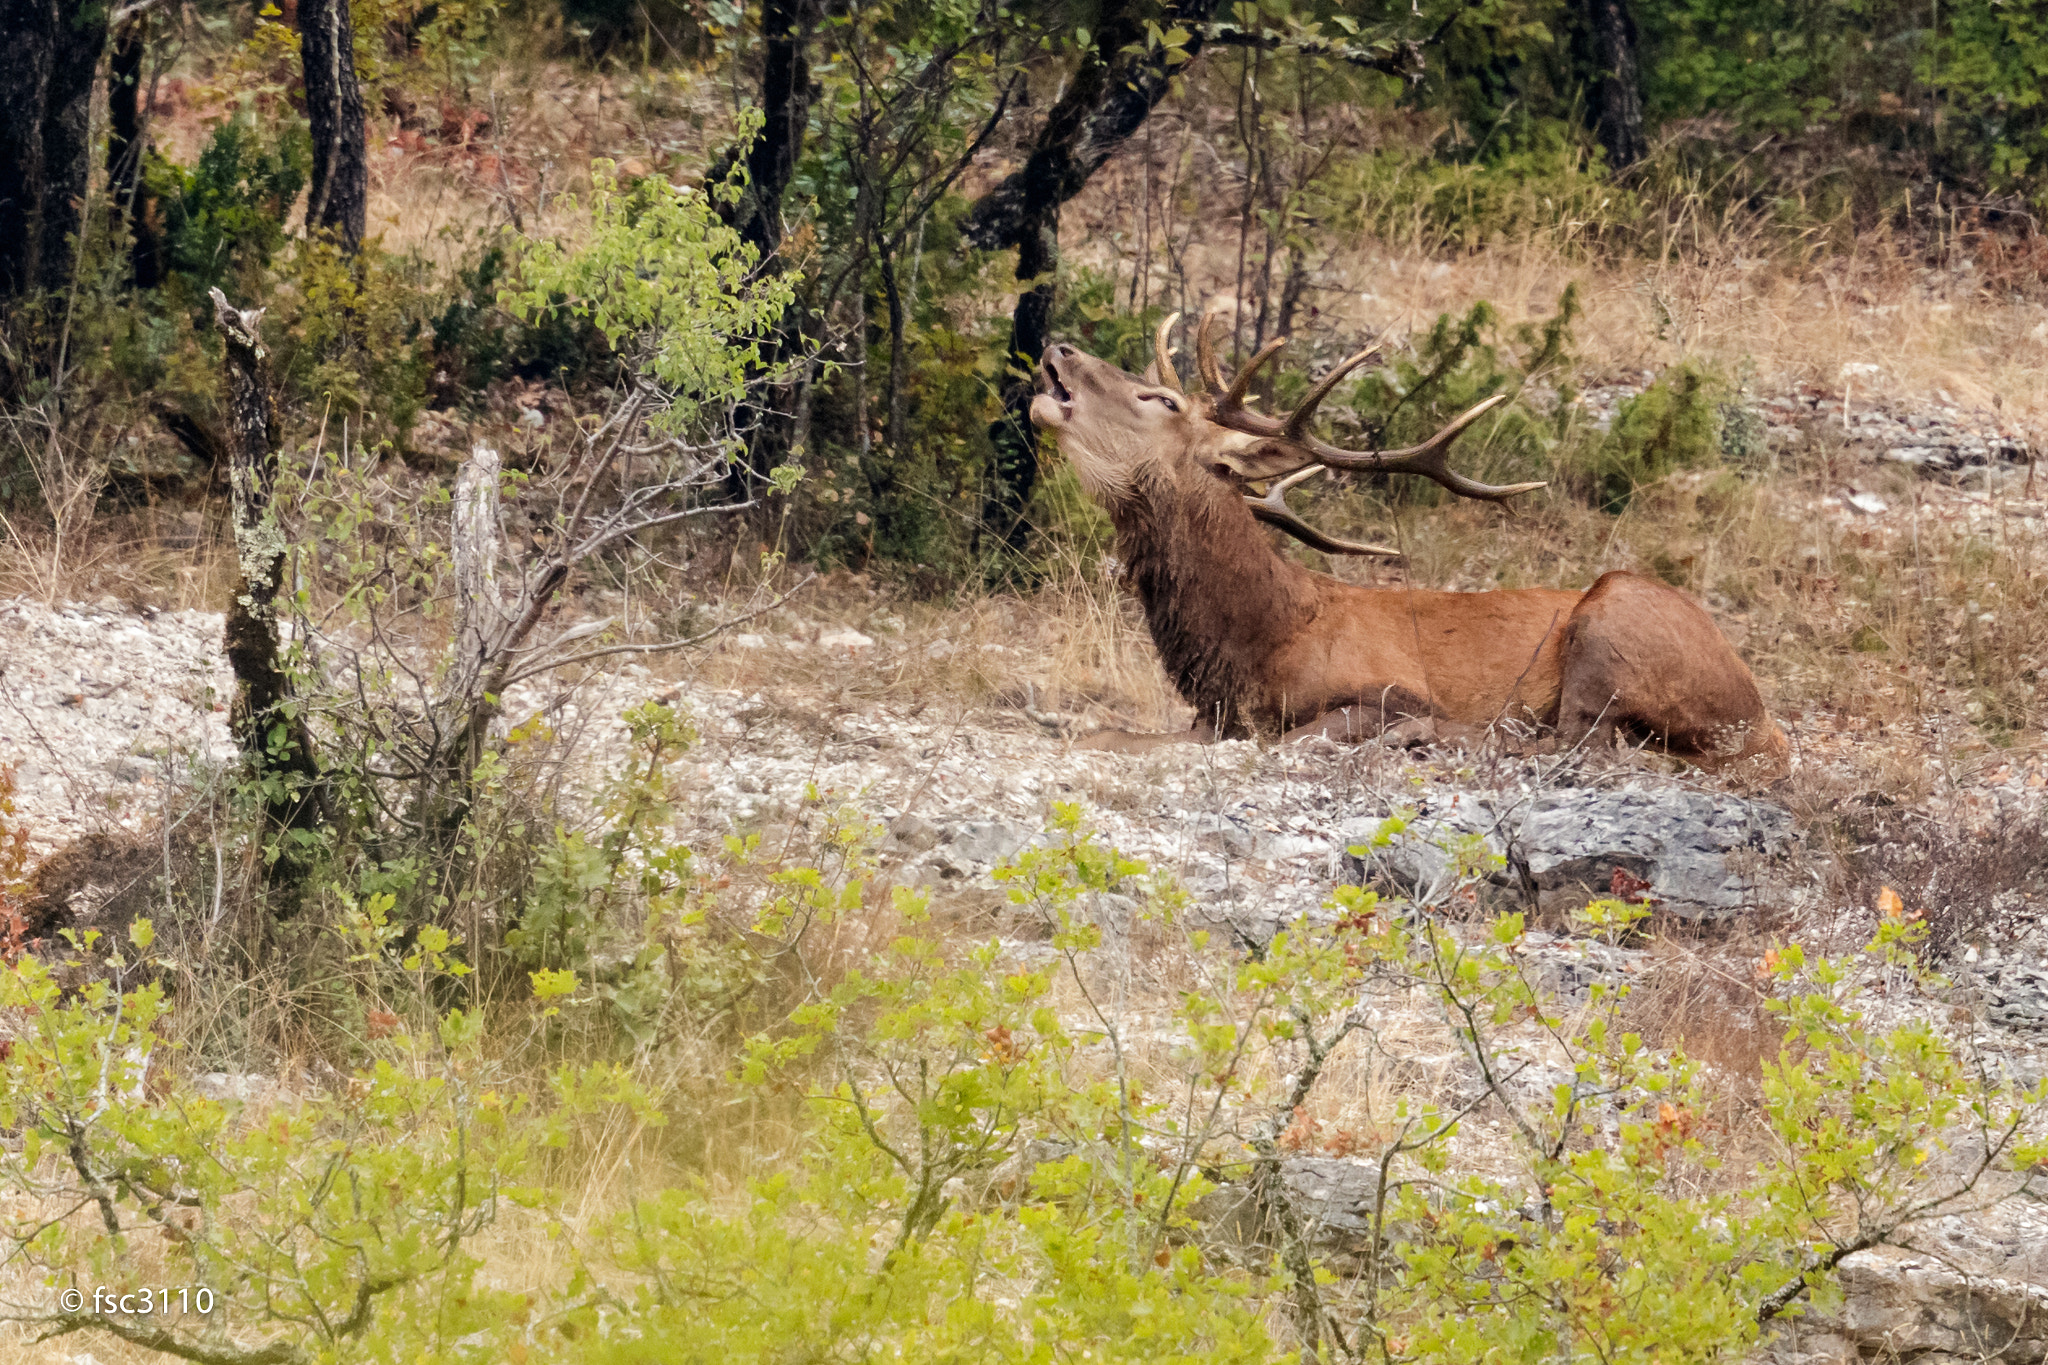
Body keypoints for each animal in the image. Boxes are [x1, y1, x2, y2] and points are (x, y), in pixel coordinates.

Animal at [1028, 306, 1790, 778]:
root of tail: (1763, 722)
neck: (1260, 640)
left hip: (1616, 616)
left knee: (1575, 740)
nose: (1057, 344)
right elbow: (1113, 733)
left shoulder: (1390, 686)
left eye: (1160, 400)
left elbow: (1292, 736)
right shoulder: (1212, 714)